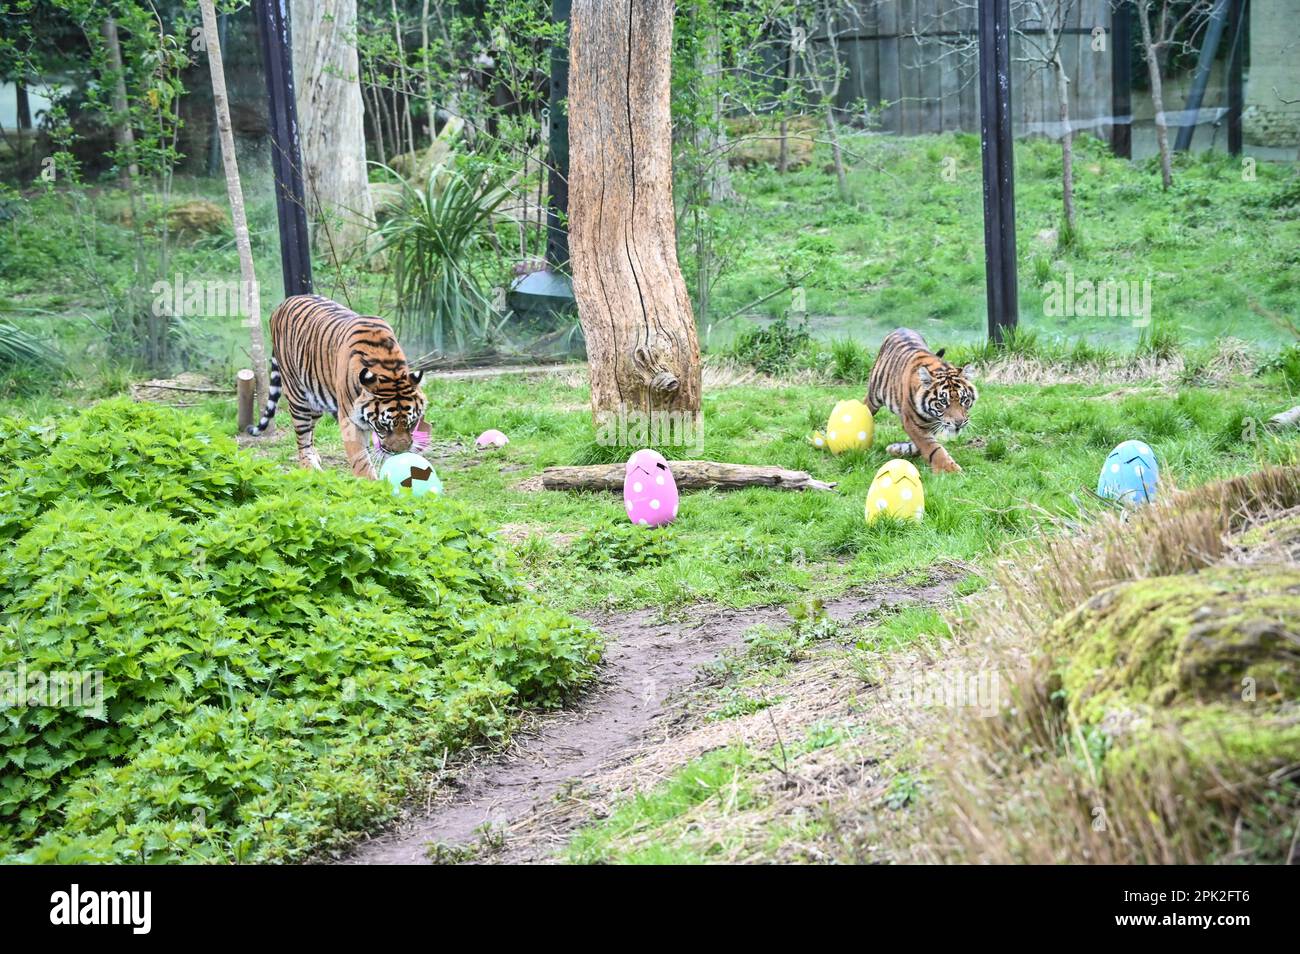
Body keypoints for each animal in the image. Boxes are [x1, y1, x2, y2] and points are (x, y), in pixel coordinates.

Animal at [244, 295, 426, 480]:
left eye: (412, 423)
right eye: (383, 426)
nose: (400, 453)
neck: (389, 370)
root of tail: (283, 303)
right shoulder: (350, 420)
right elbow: (361, 459)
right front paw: (371, 484)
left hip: (316, 400)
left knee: (310, 429)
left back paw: (315, 455)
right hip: (297, 395)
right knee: (302, 436)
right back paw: (310, 467)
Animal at [863, 330, 977, 475]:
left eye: (964, 400)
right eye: (943, 402)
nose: (958, 423)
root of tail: (900, 328)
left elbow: (923, 444)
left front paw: (897, 449)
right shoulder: (912, 423)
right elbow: (933, 448)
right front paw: (950, 469)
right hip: (874, 397)